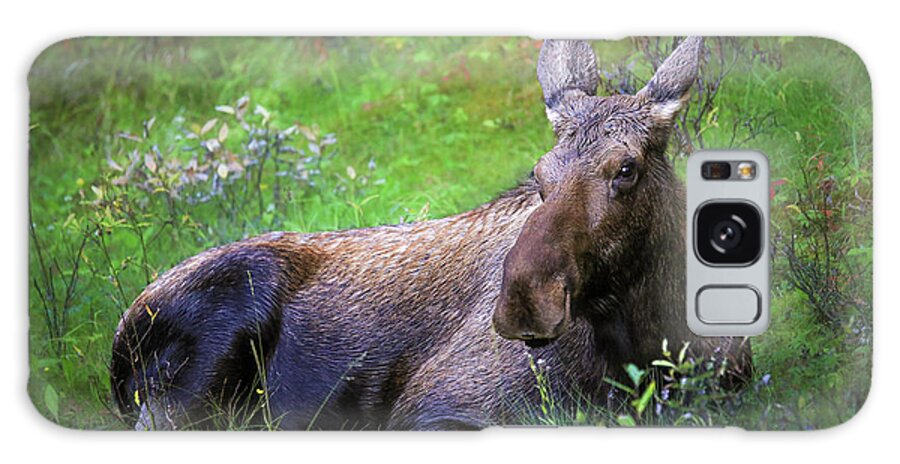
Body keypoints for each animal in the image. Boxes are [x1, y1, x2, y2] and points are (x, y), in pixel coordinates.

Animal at [109, 37, 748, 432]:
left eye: (626, 169)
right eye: (539, 173)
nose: (524, 301)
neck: (647, 343)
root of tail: (118, 342)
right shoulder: (434, 408)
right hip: (198, 368)